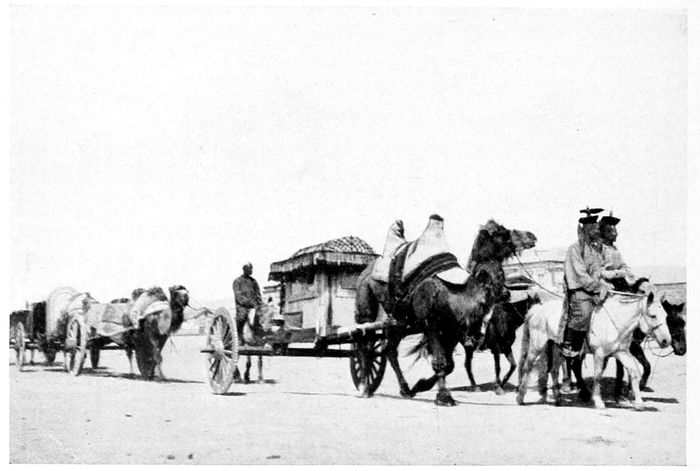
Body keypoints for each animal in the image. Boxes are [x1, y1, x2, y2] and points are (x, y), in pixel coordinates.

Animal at [355, 219, 537, 406]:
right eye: (504, 233)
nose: (532, 236)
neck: (457, 295)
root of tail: (367, 268)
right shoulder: (431, 325)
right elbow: (440, 362)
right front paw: (444, 397)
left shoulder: (453, 330)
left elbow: (449, 364)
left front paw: (421, 386)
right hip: (366, 295)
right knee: (365, 341)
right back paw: (365, 387)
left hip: (398, 320)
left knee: (389, 349)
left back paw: (405, 389)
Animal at [517, 291, 671, 410]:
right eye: (653, 315)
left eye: (665, 315)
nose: (666, 341)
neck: (615, 323)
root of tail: (537, 309)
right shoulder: (599, 354)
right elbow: (597, 375)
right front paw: (598, 401)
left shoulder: (621, 352)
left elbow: (633, 372)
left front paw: (638, 402)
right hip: (537, 346)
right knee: (527, 367)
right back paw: (520, 397)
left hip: (557, 349)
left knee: (553, 370)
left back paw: (558, 399)